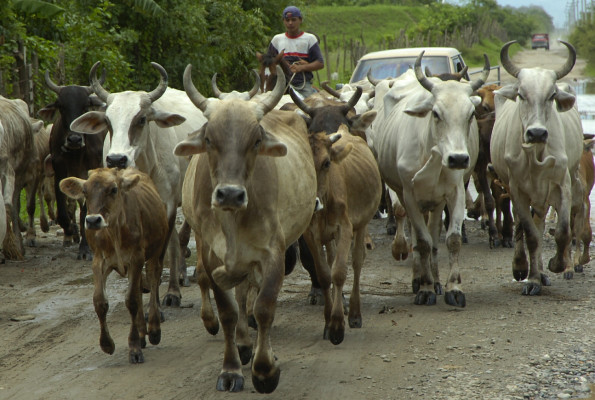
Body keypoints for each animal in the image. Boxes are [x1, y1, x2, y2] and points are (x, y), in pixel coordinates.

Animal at [71, 61, 207, 306]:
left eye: (142, 119)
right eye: (108, 122)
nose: (116, 160)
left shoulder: (168, 205)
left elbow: (159, 256)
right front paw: (142, 284)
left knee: (175, 244)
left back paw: (174, 288)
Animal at [370, 50, 492, 306]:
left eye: (471, 114)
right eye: (436, 113)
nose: (458, 159)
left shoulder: (455, 192)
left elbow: (451, 239)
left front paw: (453, 287)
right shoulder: (409, 195)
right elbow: (423, 242)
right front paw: (424, 289)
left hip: (436, 202)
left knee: (434, 236)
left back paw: (435, 280)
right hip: (405, 196)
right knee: (419, 239)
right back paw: (420, 279)